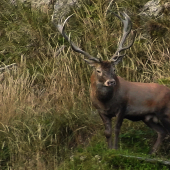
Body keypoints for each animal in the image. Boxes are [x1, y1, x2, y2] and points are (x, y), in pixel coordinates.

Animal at [54, 11, 170, 153]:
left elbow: (116, 129)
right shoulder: (101, 111)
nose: (111, 82)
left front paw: (116, 150)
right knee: (162, 132)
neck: (106, 102)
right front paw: (109, 150)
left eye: (114, 69)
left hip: (165, 112)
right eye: (98, 70)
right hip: (148, 118)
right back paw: (152, 153)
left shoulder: (122, 107)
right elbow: (107, 132)